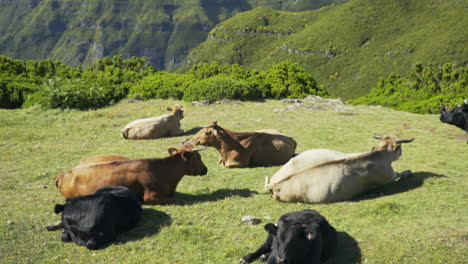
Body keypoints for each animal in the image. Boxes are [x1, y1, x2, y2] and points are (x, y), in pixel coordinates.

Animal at [266, 135, 414, 203]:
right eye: (400, 148)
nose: (401, 153)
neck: (379, 154)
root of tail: (275, 184)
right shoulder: (388, 175)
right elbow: (399, 174)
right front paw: (408, 172)